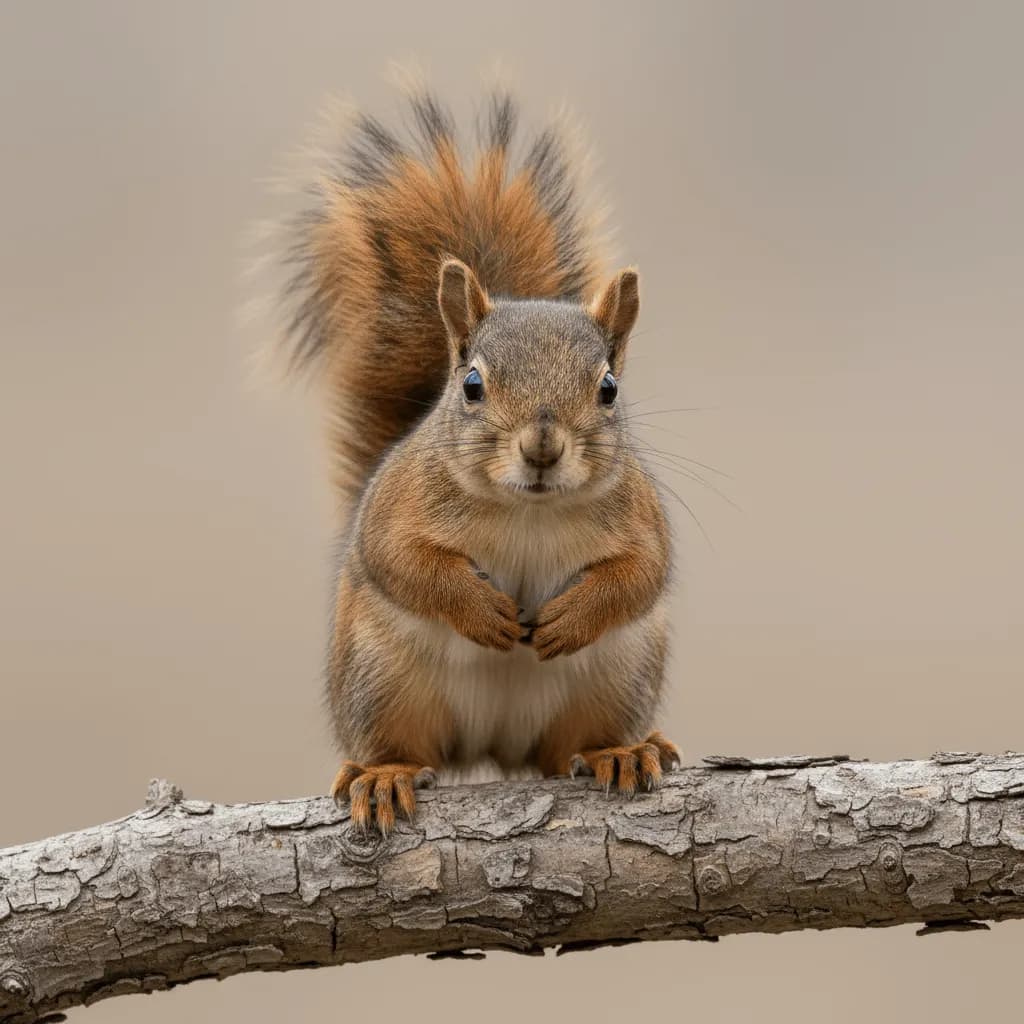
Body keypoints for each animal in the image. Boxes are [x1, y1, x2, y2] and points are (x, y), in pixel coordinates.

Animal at [271, 86, 680, 832]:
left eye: (608, 387)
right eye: (472, 385)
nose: (542, 446)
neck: (529, 510)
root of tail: (497, 746)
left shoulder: (644, 519)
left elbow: (641, 574)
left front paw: (573, 617)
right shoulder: (393, 511)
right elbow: (404, 563)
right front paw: (478, 608)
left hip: (617, 679)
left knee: (575, 745)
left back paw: (621, 752)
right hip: (381, 681)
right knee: (399, 746)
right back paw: (384, 775)